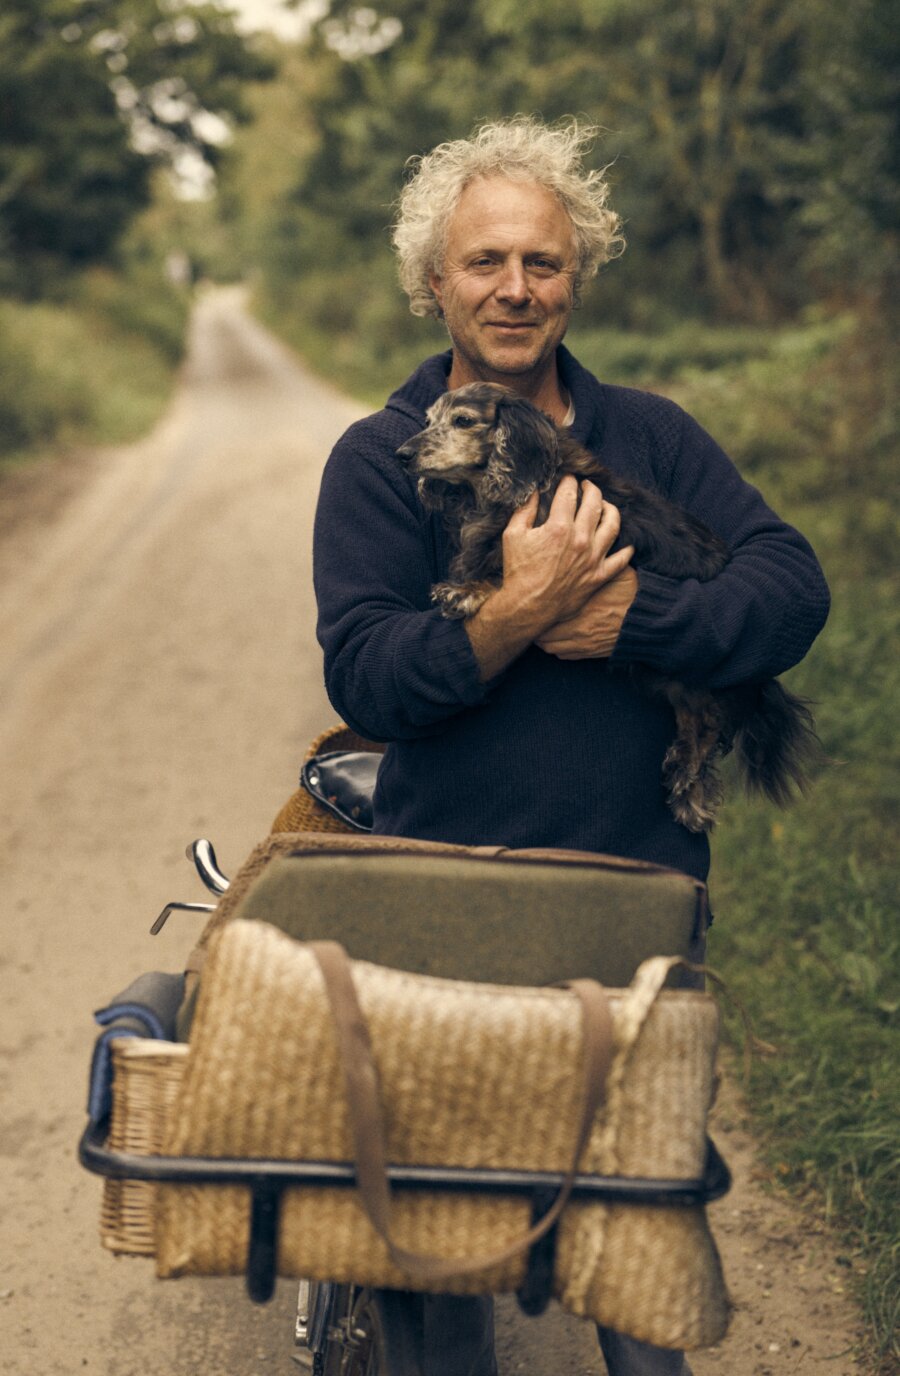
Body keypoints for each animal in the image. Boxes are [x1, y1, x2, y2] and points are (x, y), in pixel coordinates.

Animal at [396, 379, 820, 825]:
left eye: (462, 421)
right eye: (428, 420)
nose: (402, 455)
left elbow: (508, 576)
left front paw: (465, 591)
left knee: (707, 721)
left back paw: (688, 786)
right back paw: (686, 786)